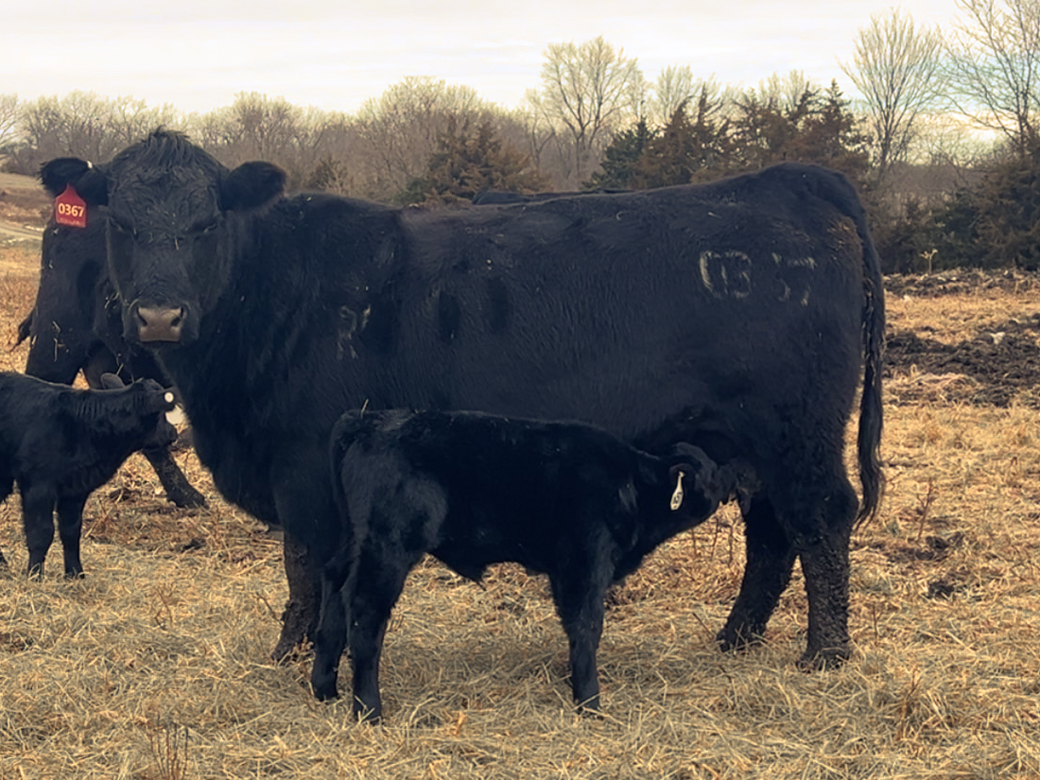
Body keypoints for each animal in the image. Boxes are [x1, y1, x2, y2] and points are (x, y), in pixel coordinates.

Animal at [0, 371, 178, 577]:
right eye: (160, 413)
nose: (173, 433)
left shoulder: (75, 490)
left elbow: (71, 531)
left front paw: (75, 574)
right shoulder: (38, 485)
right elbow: (41, 532)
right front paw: (35, 575)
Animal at [38, 130, 884, 671]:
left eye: (207, 220)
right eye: (120, 220)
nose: (158, 316)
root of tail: (790, 181)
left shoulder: (306, 462)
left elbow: (304, 562)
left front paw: (294, 653)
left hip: (797, 430)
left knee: (820, 518)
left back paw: (826, 655)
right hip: (747, 441)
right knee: (772, 532)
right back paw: (734, 642)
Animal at [312, 409, 747, 721]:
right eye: (711, 470)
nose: (740, 472)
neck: (631, 487)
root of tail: (369, 420)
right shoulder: (584, 560)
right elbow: (586, 626)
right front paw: (589, 703)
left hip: (354, 544)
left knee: (333, 592)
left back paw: (325, 690)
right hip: (388, 545)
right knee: (365, 613)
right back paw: (369, 710)